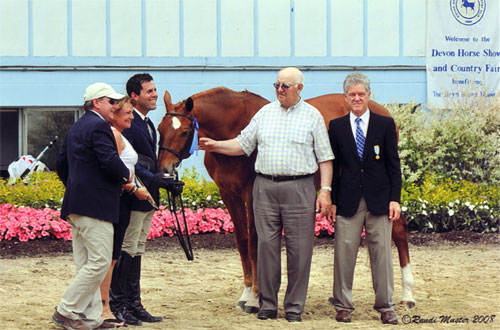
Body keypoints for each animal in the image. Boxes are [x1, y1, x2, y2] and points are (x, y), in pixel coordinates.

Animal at [158, 87, 416, 312]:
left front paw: (254, 299)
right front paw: (245, 294)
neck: (234, 127)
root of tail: (382, 111)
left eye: (183, 132)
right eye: (159, 129)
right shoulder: (228, 194)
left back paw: (407, 296)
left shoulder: (252, 193)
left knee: (398, 231)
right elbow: (242, 241)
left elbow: (254, 242)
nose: (164, 171)